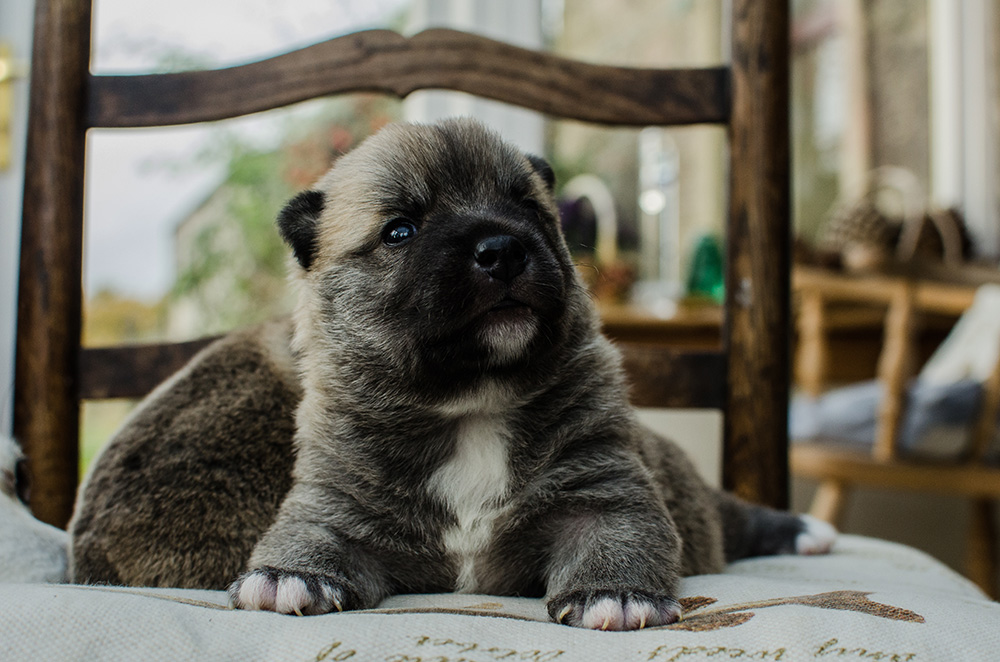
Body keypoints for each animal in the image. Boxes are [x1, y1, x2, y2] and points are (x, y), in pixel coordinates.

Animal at [72, 119, 836, 632]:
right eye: (400, 230)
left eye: (527, 207)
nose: (502, 249)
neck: (470, 403)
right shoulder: (335, 504)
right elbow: (309, 535)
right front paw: (288, 577)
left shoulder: (606, 492)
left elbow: (615, 538)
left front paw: (615, 596)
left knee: (731, 514)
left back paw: (804, 531)